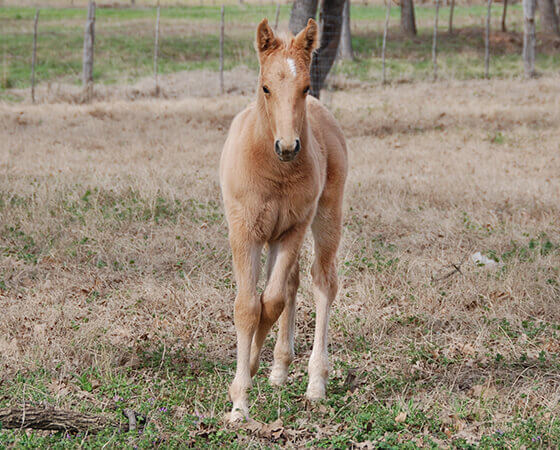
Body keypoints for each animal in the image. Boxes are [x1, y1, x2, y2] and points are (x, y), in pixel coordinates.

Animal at [220, 18, 348, 422]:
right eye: (265, 87)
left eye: (305, 87)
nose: (288, 147)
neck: (274, 171)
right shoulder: (245, 233)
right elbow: (249, 306)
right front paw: (241, 400)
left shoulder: (291, 230)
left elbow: (269, 302)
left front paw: (248, 371)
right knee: (291, 284)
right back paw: (278, 369)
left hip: (325, 217)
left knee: (322, 283)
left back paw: (316, 382)